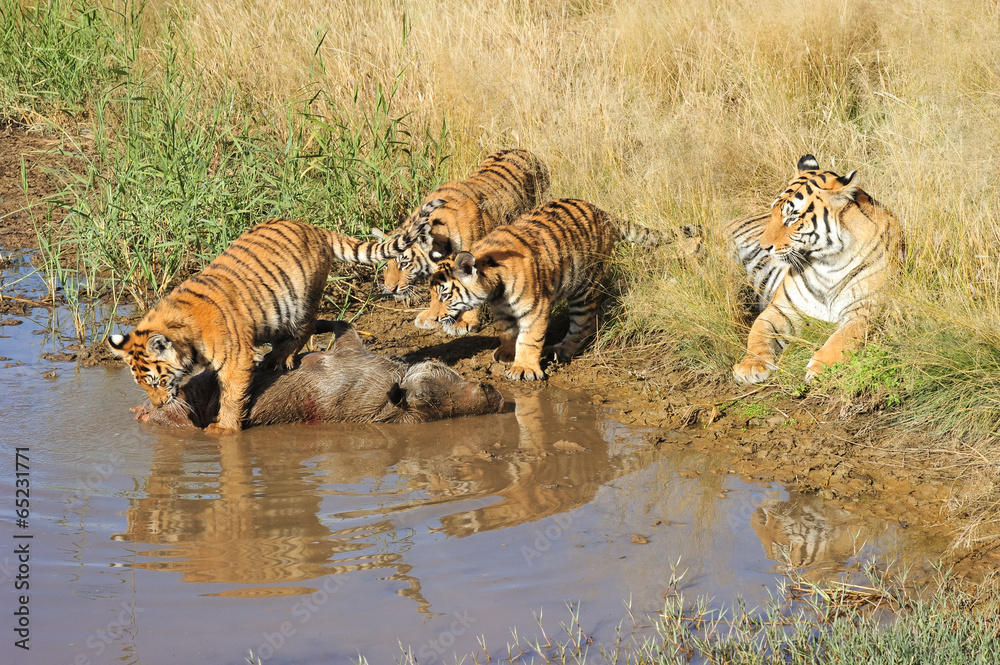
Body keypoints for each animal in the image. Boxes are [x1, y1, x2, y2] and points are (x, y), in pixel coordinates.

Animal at [108, 219, 422, 434]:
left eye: (157, 382)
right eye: (141, 384)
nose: (158, 405)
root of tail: (314, 228)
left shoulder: (235, 360)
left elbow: (231, 396)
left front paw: (223, 429)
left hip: (303, 299)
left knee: (304, 329)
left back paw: (278, 358)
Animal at [372, 148, 550, 333]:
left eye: (404, 264)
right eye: (385, 266)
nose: (390, 289)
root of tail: (525, 150)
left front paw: (465, 322)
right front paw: (430, 316)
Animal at [415, 198, 664, 381]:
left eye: (445, 296)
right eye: (432, 296)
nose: (434, 318)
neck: (495, 291)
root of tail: (602, 211)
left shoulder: (536, 308)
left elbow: (529, 339)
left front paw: (523, 368)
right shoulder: (502, 310)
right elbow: (507, 331)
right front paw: (507, 354)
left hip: (585, 287)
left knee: (583, 325)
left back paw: (561, 350)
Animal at [729, 154, 903, 384]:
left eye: (792, 217)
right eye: (773, 212)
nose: (764, 246)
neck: (828, 264)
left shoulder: (864, 309)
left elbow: (843, 337)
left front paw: (822, 367)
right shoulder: (781, 309)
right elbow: (758, 333)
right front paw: (750, 366)